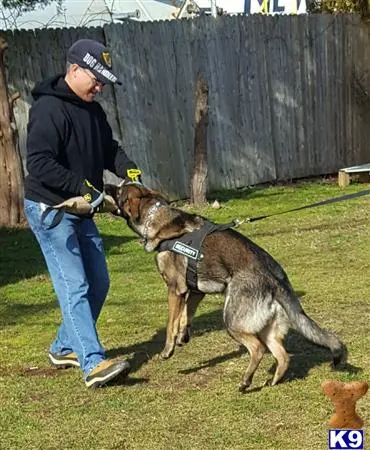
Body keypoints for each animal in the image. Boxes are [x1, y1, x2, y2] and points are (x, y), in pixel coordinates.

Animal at [106, 183, 346, 390]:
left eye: (118, 191)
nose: (105, 185)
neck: (157, 216)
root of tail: (274, 280)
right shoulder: (195, 292)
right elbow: (186, 315)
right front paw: (184, 336)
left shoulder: (176, 289)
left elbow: (171, 323)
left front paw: (168, 349)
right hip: (266, 329)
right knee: (283, 355)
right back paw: (271, 381)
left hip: (232, 321)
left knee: (258, 349)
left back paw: (246, 381)